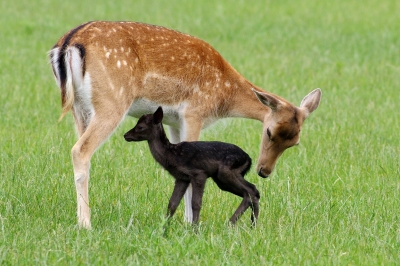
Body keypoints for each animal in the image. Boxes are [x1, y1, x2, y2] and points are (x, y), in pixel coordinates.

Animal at [48, 20, 322, 229]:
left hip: (80, 109)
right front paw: (191, 224)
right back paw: (86, 224)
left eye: (295, 142)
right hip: (112, 101)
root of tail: (68, 44)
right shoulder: (194, 113)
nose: (264, 171)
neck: (224, 95)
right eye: (269, 131)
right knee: (80, 150)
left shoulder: (172, 119)